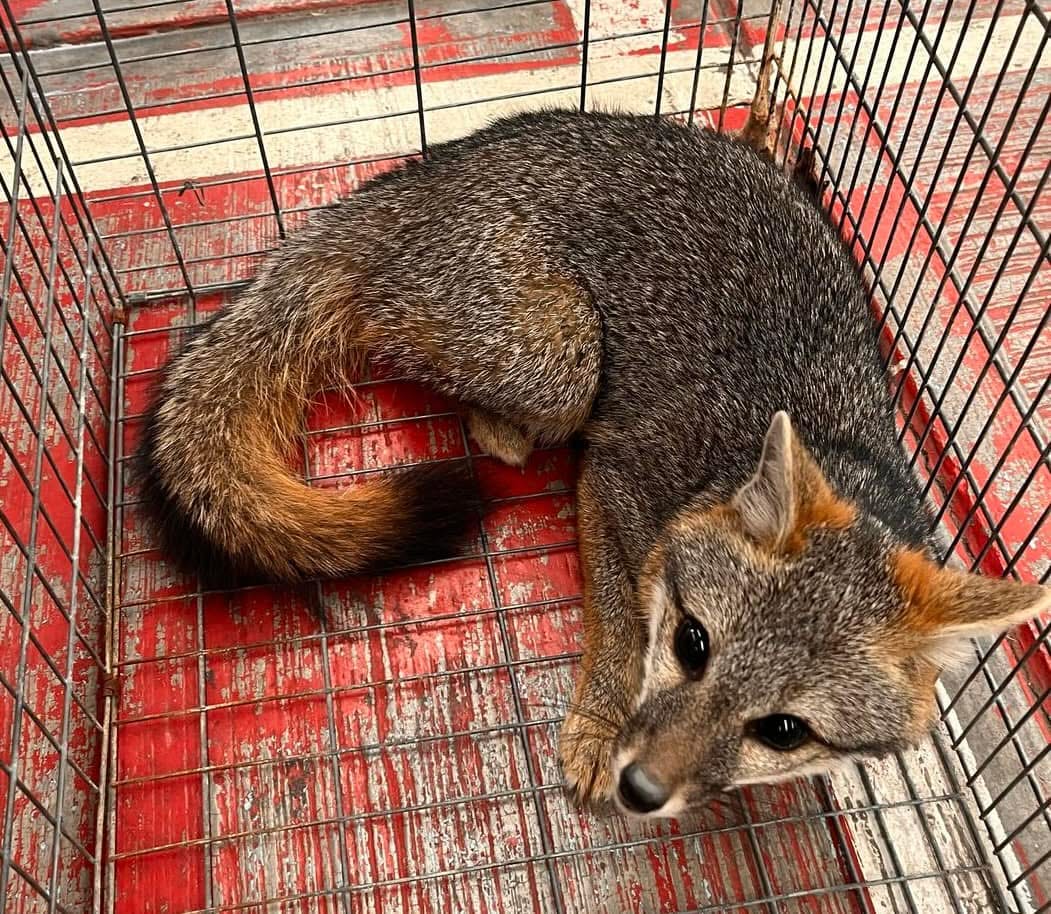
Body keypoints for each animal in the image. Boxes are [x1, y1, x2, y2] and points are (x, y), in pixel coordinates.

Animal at [139, 109, 1049, 817]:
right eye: (691, 644)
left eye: (783, 729)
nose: (641, 789)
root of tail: (415, 178)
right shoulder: (615, 478)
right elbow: (617, 619)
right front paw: (598, 722)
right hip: (560, 360)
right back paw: (502, 429)